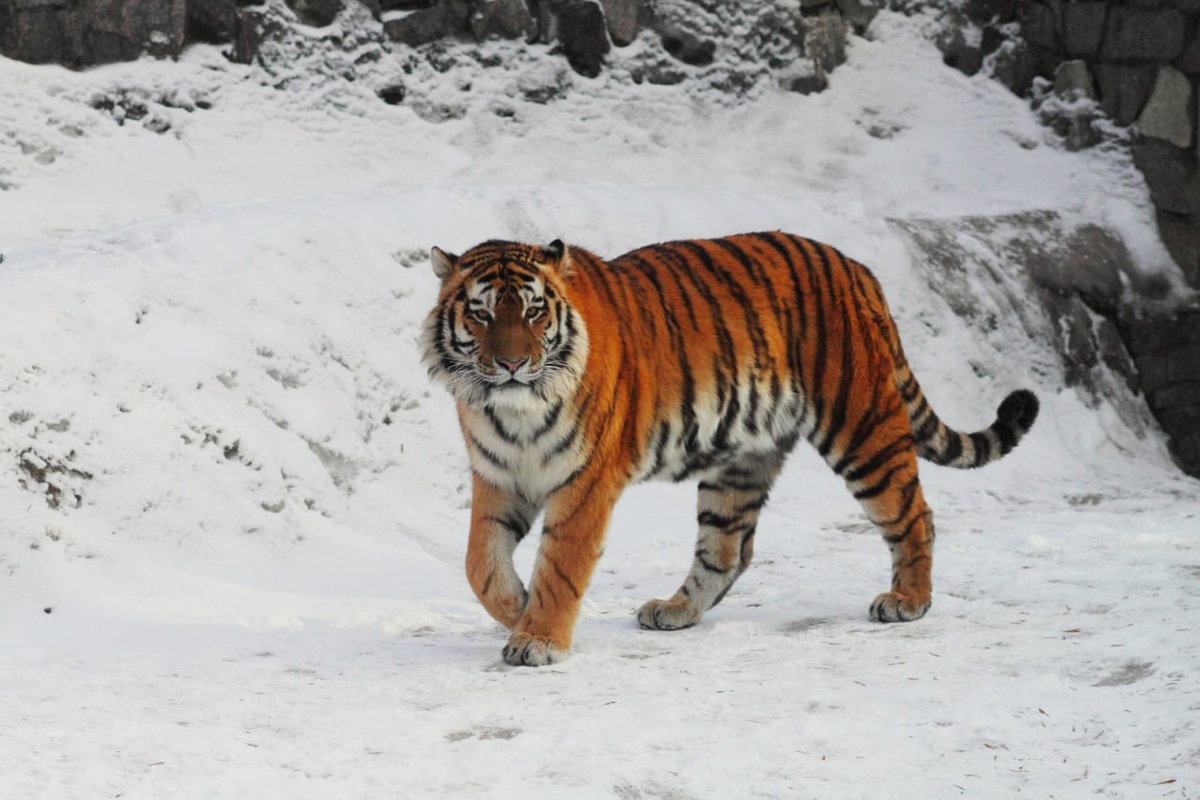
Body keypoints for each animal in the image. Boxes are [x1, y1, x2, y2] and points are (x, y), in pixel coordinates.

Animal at [420, 233, 1038, 667]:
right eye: (481, 313)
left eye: (532, 311)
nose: (511, 363)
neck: (511, 411)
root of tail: (858, 268)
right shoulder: (498, 476)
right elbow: (480, 564)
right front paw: (517, 610)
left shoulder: (585, 482)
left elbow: (561, 564)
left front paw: (539, 637)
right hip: (741, 460)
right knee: (727, 549)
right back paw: (675, 610)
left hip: (862, 427)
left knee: (915, 514)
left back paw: (908, 601)